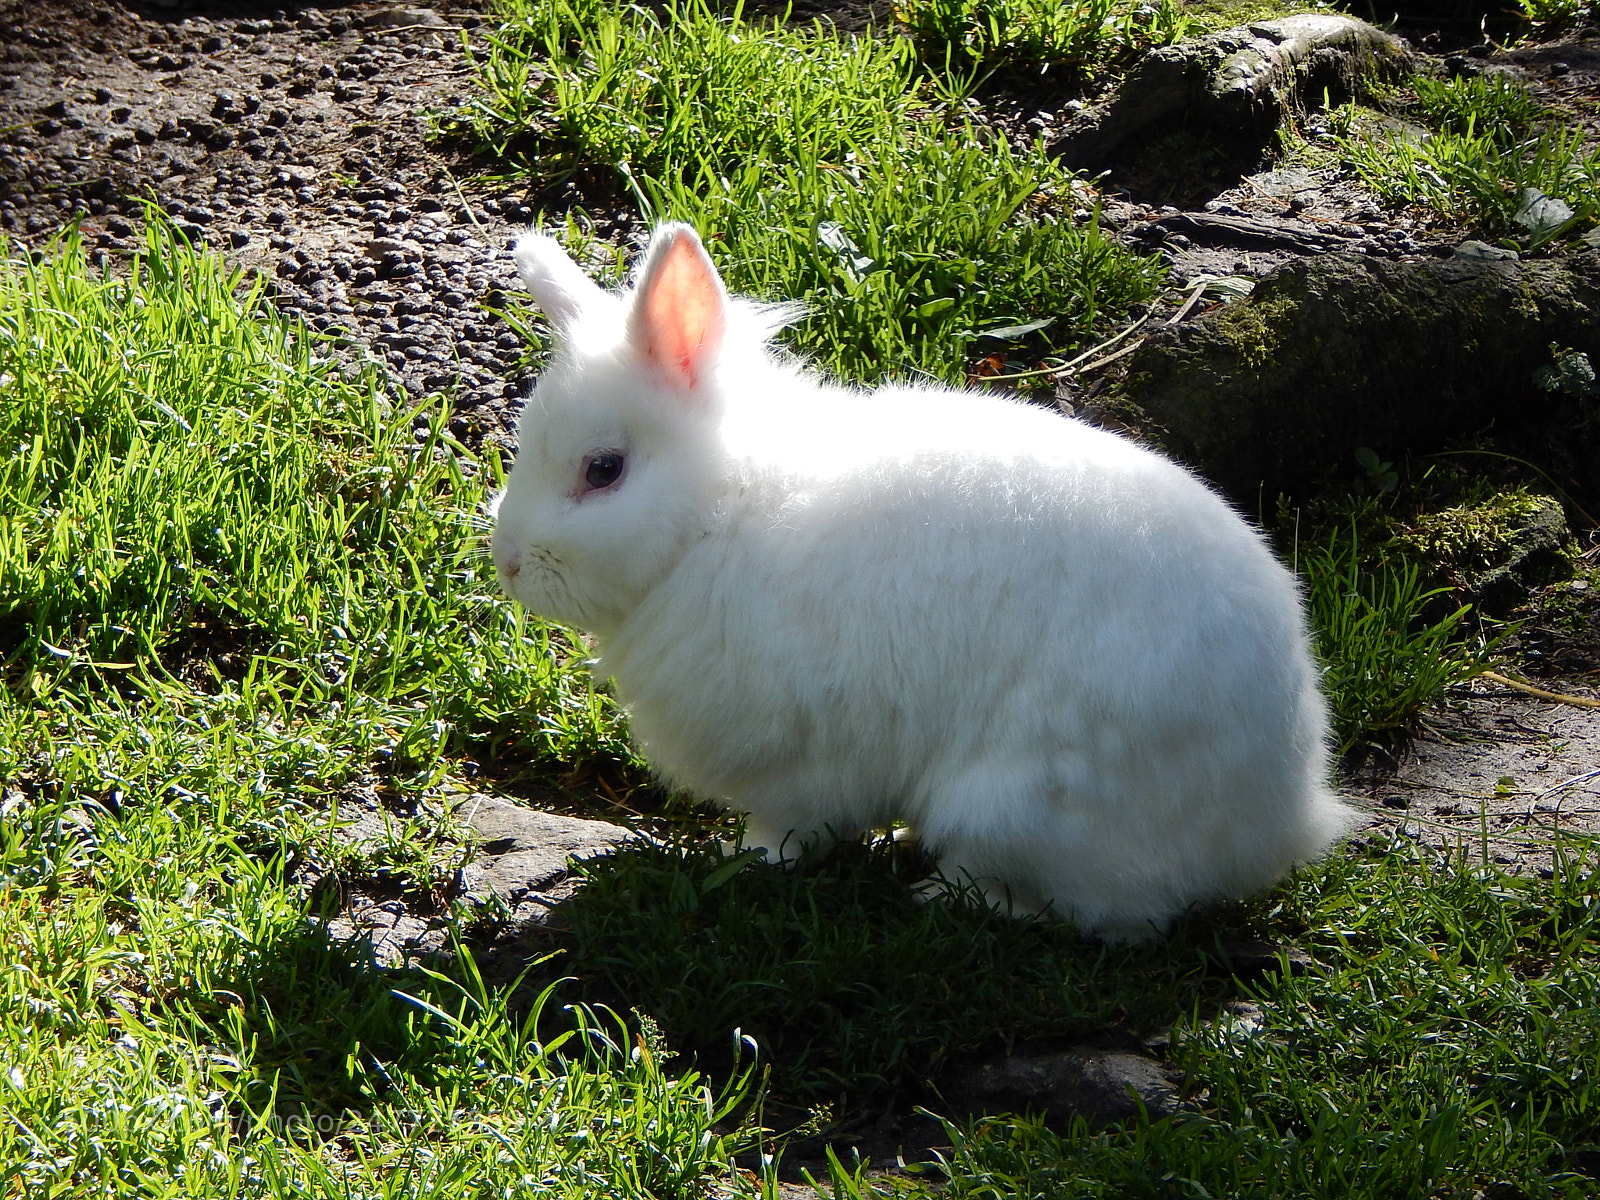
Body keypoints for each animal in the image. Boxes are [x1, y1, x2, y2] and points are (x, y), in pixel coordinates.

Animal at [490, 222, 1353, 941]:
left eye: (604, 470)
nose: (508, 563)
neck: (720, 508)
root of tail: (1285, 819)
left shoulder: (802, 760)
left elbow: (792, 829)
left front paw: (746, 859)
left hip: (1016, 807)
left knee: (1109, 915)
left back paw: (948, 893)